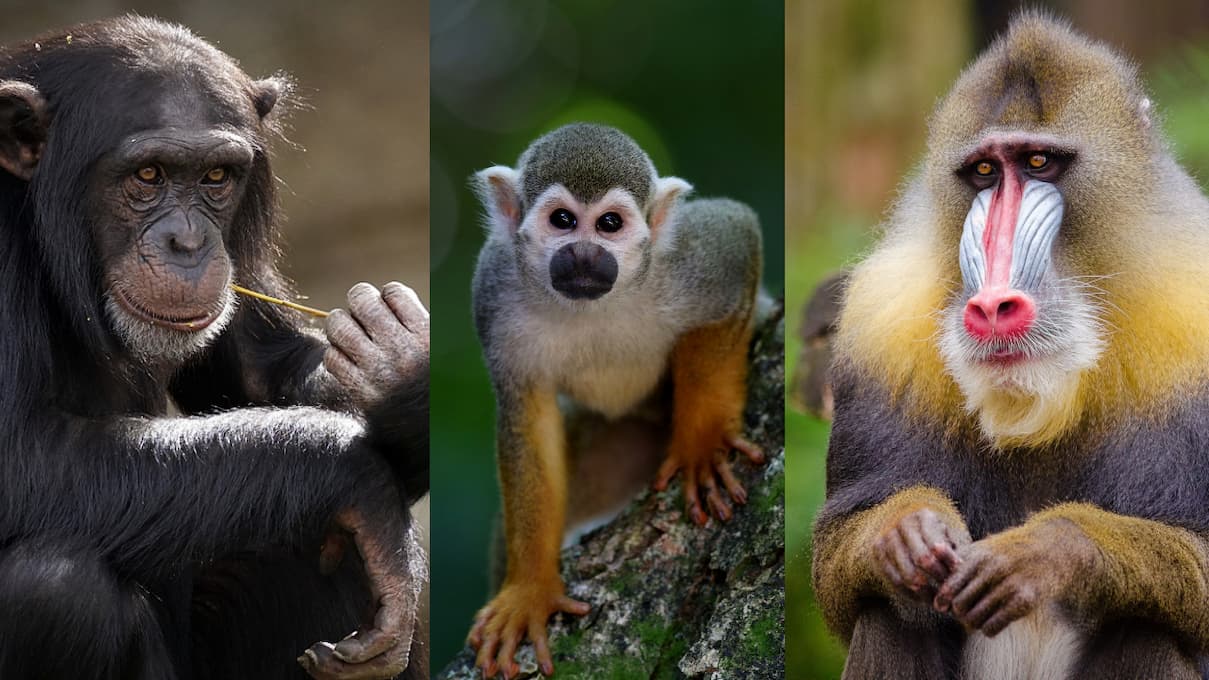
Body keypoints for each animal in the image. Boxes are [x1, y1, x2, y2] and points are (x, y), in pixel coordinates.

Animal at [466, 122, 765, 677]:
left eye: (609, 224)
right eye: (563, 221)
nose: (585, 255)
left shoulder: (690, 260)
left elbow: (738, 235)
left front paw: (702, 444)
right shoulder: (493, 290)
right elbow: (527, 419)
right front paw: (530, 590)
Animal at [811, 13, 1209, 680]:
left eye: (1039, 161)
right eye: (984, 173)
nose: (993, 306)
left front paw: (1045, 551)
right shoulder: (879, 326)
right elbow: (839, 568)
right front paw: (906, 532)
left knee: (1147, 628)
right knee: (890, 615)